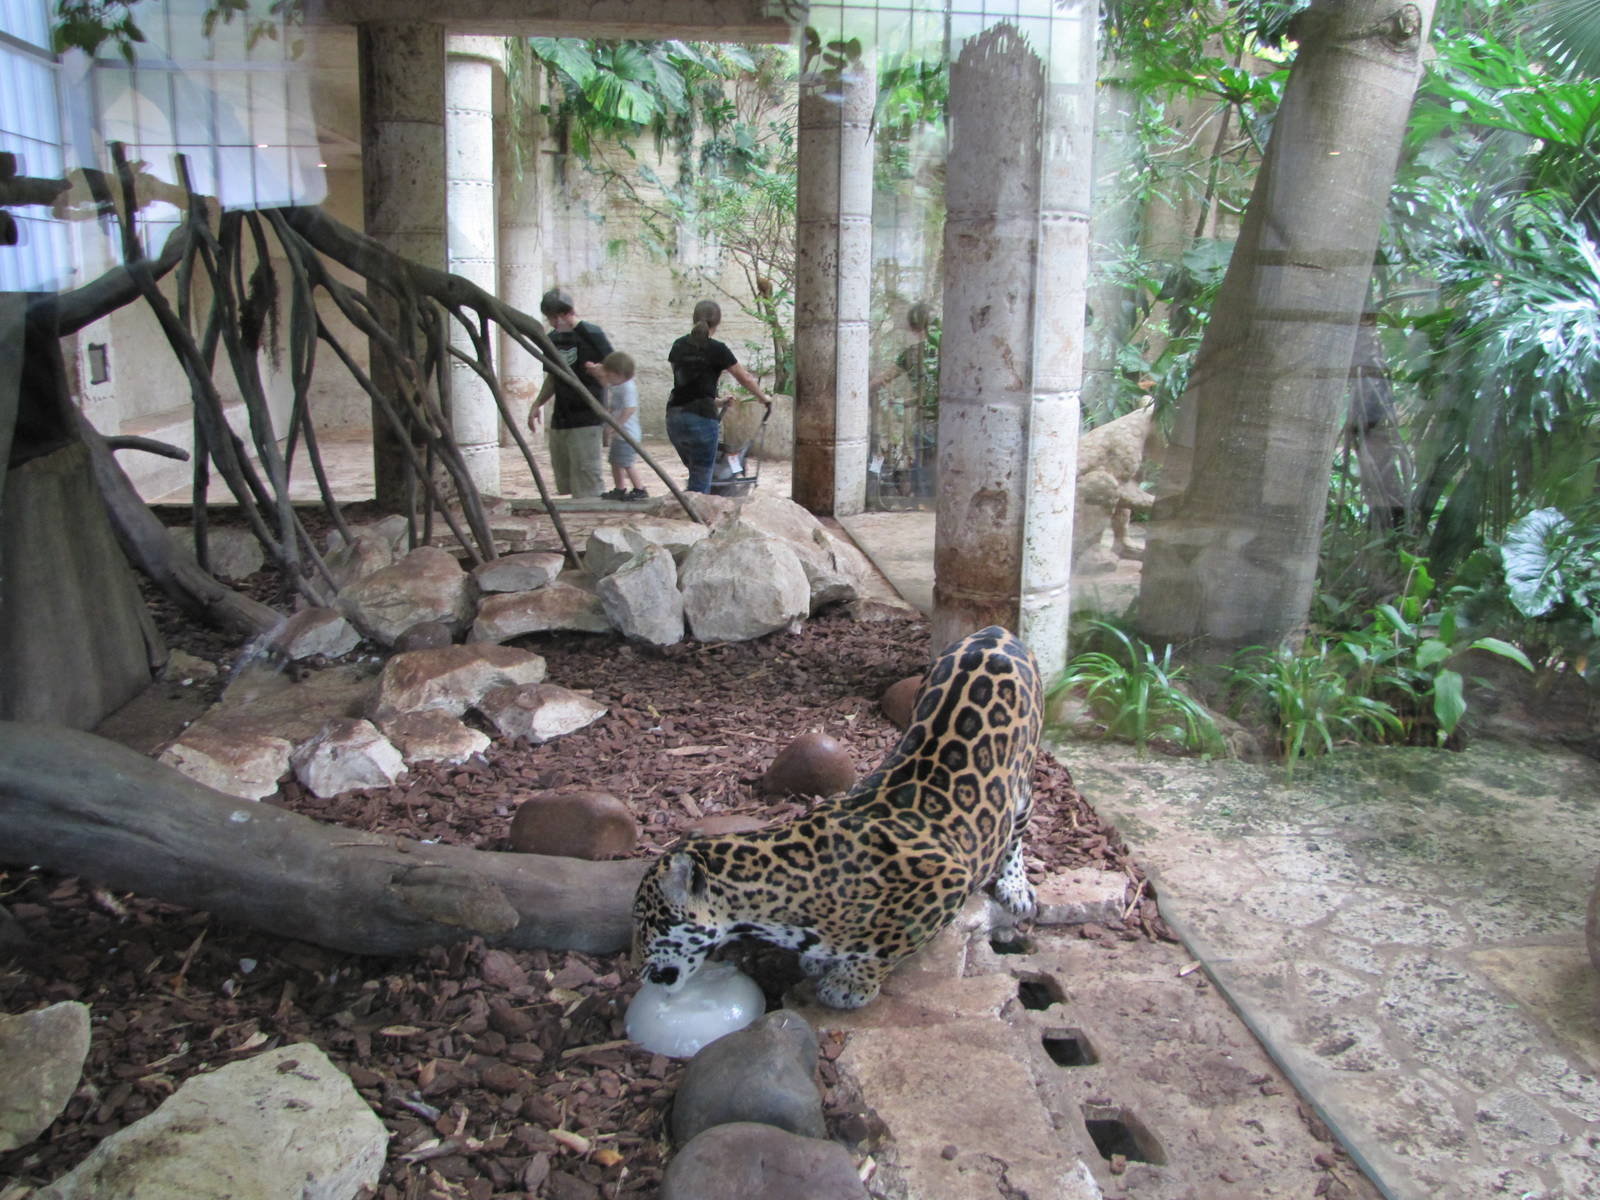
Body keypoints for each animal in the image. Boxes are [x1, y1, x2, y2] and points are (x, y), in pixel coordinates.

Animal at [631, 625, 1043, 1009]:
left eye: (645, 920)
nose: (639, 971)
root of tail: (994, 633)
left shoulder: (946, 880)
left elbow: (893, 943)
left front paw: (851, 982)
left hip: (1023, 781)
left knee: (1017, 830)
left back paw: (1015, 886)